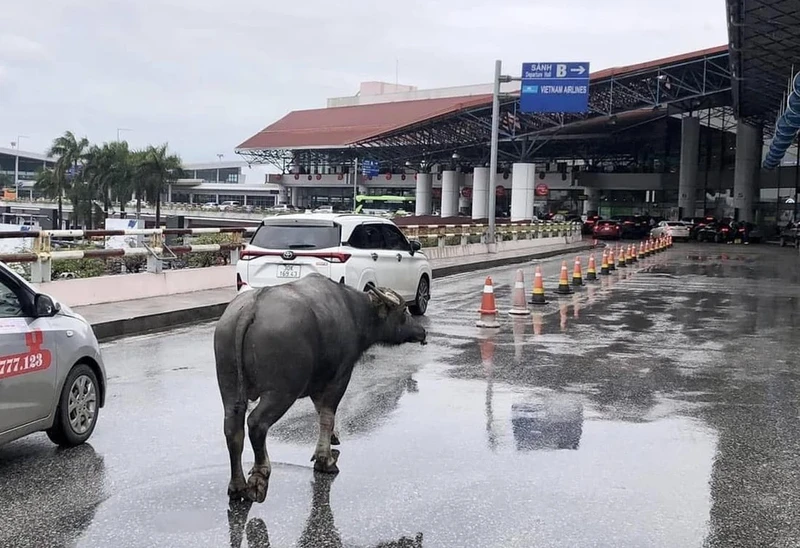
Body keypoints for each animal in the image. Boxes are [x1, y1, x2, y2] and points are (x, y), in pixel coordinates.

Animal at [212, 272, 424, 504]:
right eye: (403, 311)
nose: (422, 332)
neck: (354, 311)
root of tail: (251, 308)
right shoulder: (340, 377)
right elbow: (327, 415)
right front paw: (325, 461)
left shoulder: (318, 383)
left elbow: (319, 411)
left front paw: (333, 438)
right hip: (282, 392)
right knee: (256, 424)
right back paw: (259, 477)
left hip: (228, 386)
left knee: (232, 429)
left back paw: (237, 486)